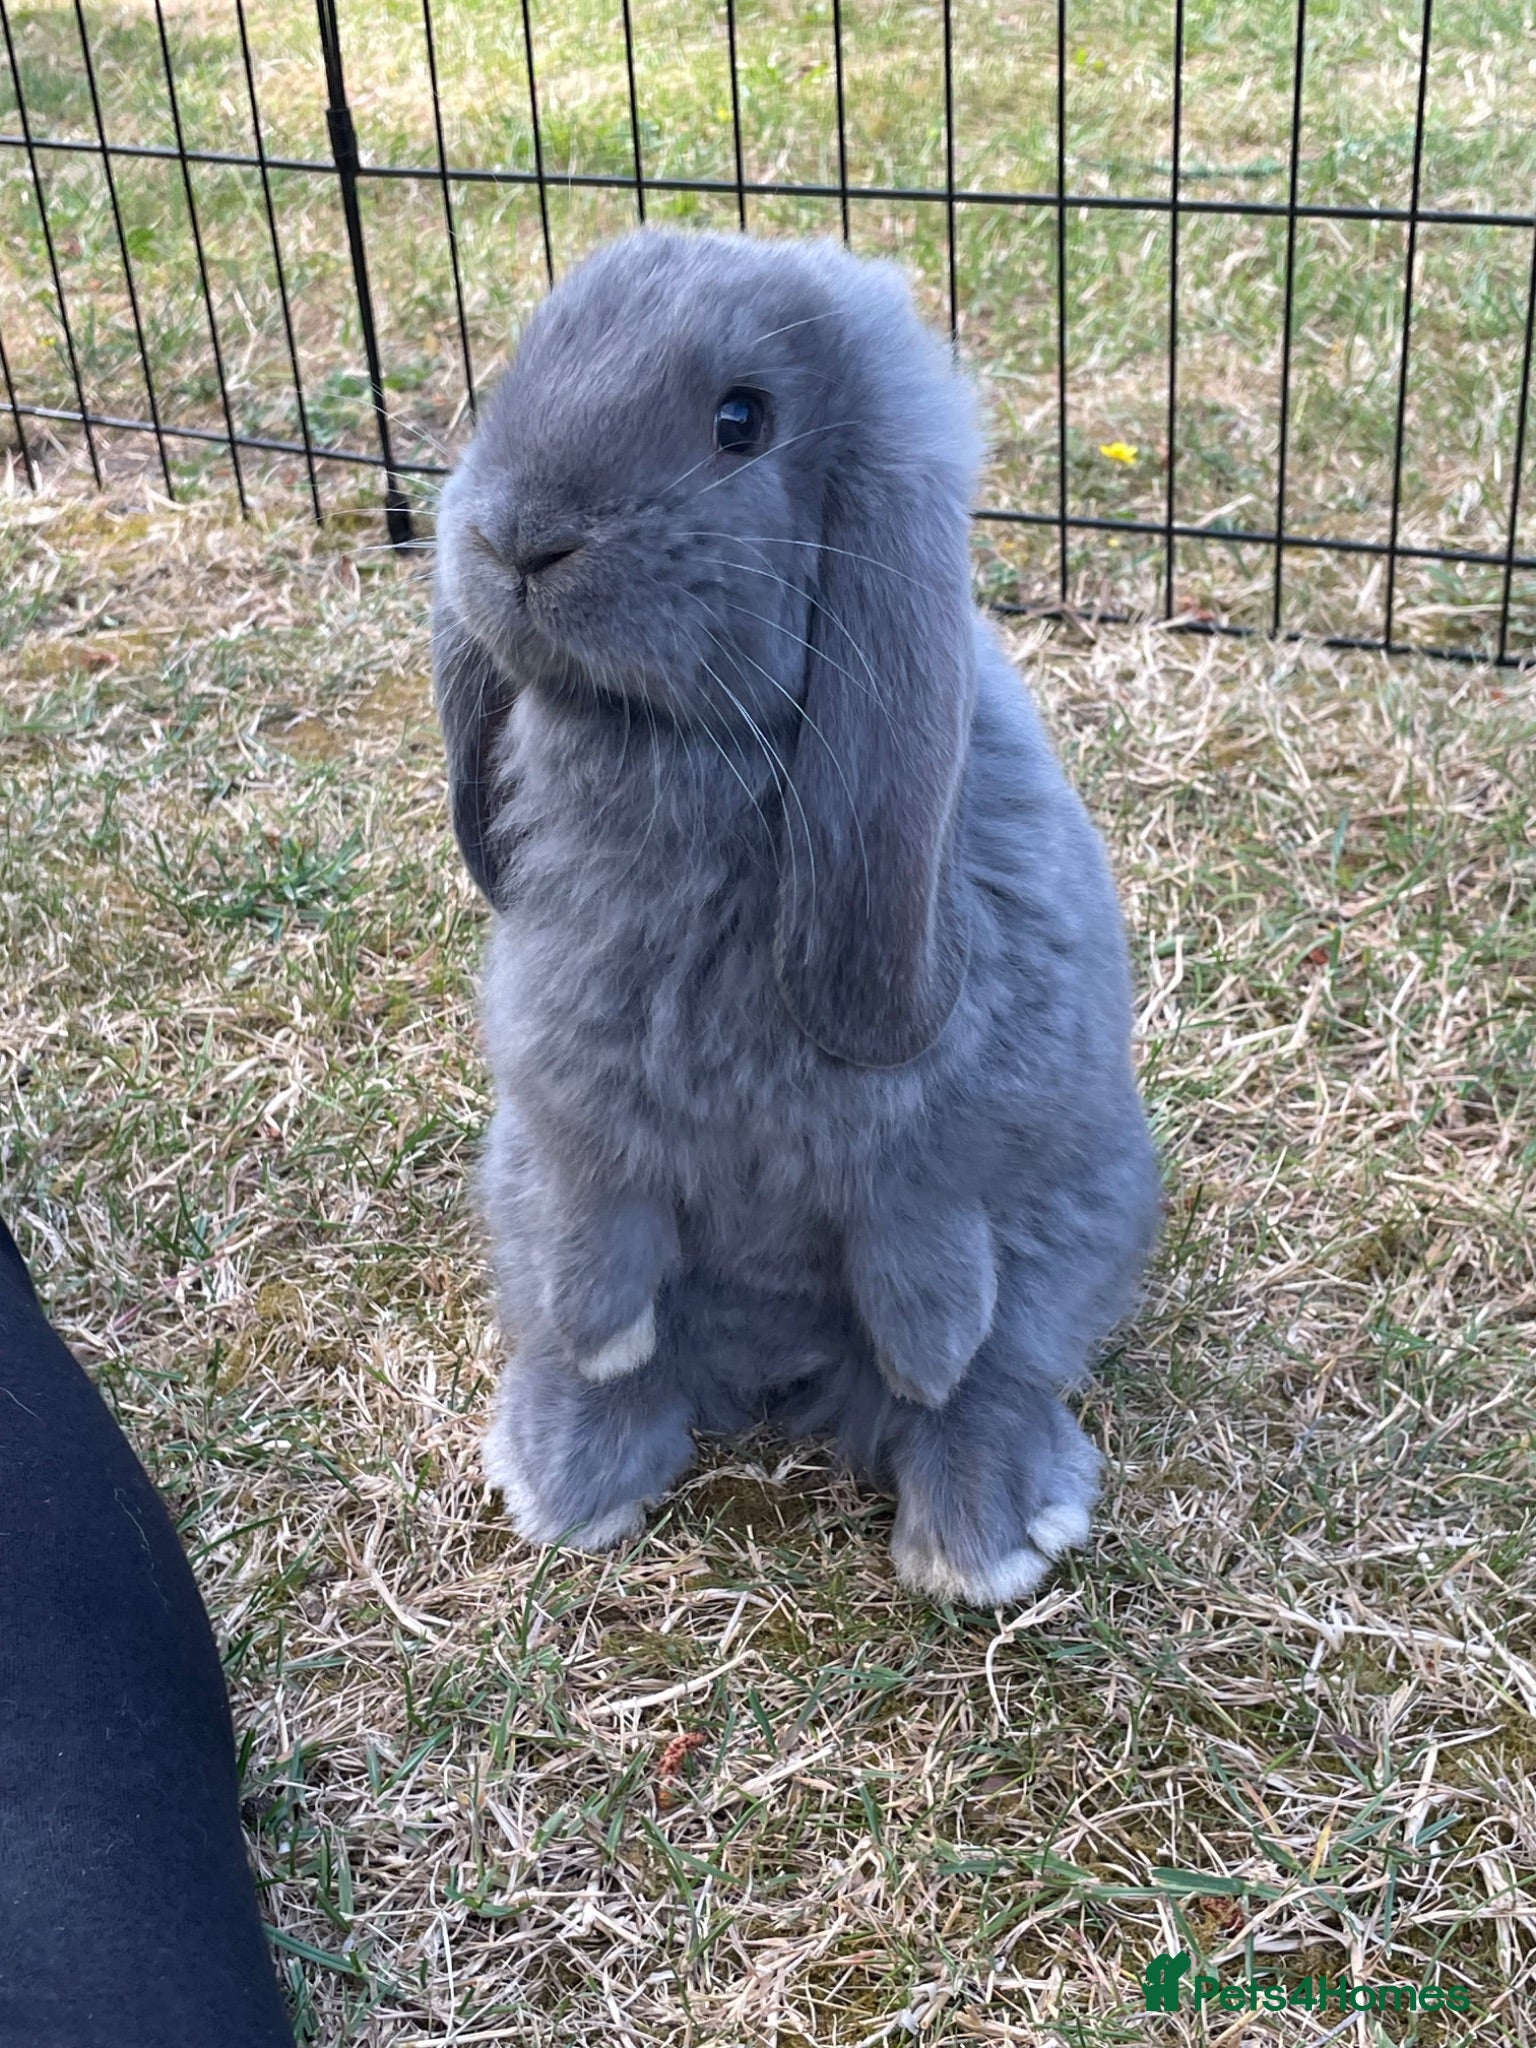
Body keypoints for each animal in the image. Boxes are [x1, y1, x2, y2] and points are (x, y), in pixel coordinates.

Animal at [432, 228, 1160, 1607]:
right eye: (517, 367)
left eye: (741, 421)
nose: (518, 538)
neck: (663, 747)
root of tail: (774, 1372)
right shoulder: (578, 1125)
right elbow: (602, 1250)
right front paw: (599, 1349)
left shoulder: (936, 1147)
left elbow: (926, 1255)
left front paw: (931, 1352)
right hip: (517, 1185)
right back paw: (567, 1471)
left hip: (1074, 1221)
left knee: (989, 1377)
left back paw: (983, 1530)